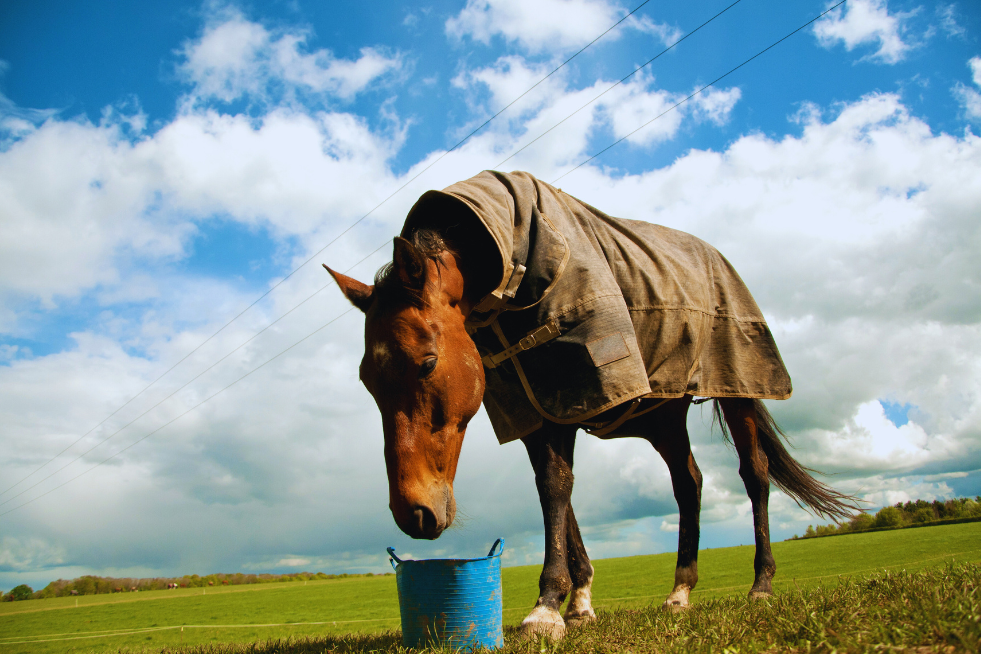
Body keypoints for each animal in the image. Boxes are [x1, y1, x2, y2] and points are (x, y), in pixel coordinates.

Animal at [325, 171, 856, 640]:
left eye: (428, 363)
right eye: (367, 380)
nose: (413, 514)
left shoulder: (573, 387)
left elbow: (555, 488)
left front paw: (546, 607)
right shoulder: (538, 408)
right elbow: (558, 490)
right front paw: (577, 603)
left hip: (739, 390)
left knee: (755, 475)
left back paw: (761, 584)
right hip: (664, 415)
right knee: (689, 483)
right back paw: (680, 592)